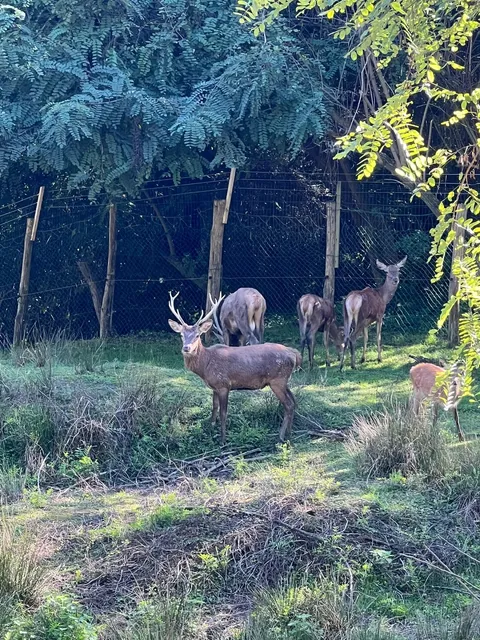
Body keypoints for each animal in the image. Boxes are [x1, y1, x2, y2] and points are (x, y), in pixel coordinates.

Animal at [168, 292, 301, 445]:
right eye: (181, 335)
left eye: (197, 335)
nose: (186, 348)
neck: (205, 366)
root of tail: (294, 354)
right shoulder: (214, 387)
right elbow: (214, 407)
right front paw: (211, 428)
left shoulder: (224, 384)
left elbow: (223, 413)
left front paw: (223, 440)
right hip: (284, 380)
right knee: (294, 401)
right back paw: (289, 434)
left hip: (277, 380)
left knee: (288, 405)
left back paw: (280, 436)